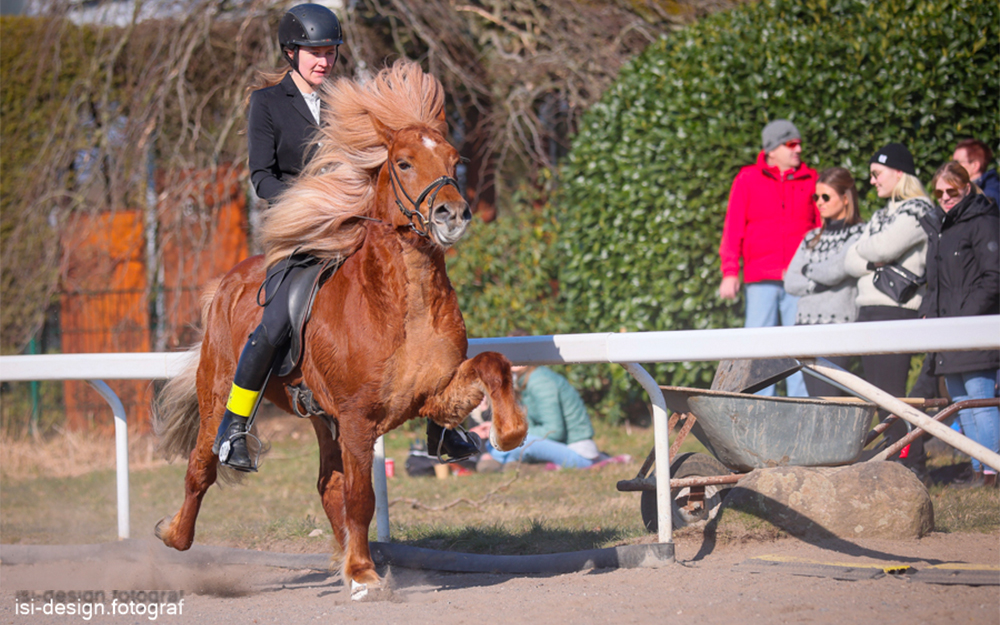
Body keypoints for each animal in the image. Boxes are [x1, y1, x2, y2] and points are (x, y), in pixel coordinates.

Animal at [152, 62, 528, 600]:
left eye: (455, 161)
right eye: (403, 163)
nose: (452, 216)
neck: (404, 304)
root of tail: (226, 282)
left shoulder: (431, 395)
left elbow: (493, 365)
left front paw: (509, 432)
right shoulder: (355, 420)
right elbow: (361, 496)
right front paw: (366, 574)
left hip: (319, 416)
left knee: (325, 486)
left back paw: (342, 559)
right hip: (219, 390)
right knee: (202, 467)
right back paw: (175, 532)